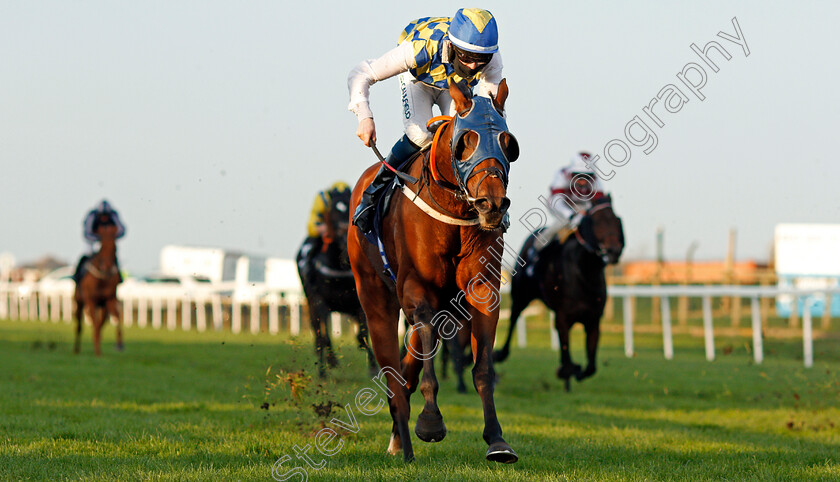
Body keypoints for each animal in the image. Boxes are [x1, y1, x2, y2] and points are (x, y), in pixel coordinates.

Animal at [74, 217, 124, 356]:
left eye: (115, 248)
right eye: (102, 245)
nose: (107, 266)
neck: (102, 279)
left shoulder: (108, 300)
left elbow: (115, 320)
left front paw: (118, 345)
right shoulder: (91, 300)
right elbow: (96, 324)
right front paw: (97, 349)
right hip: (79, 302)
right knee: (79, 325)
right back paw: (76, 349)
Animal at [296, 186, 374, 378]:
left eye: (349, 206)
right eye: (332, 211)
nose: (344, 231)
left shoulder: (358, 301)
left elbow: (363, 334)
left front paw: (373, 367)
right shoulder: (319, 302)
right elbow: (324, 336)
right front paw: (324, 369)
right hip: (311, 303)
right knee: (319, 334)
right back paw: (327, 363)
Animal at [346, 78, 520, 464]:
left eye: (508, 143)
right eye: (465, 142)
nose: (492, 204)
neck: (453, 208)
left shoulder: (481, 290)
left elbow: (482, 367)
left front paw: (497, 440)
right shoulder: (416, 290)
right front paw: (430, 422)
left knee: (404, 369)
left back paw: (399, 437)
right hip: (375, 298)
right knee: (392, 371)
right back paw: (404, 442)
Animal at [492, 196, 624, 392]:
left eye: (616, 221)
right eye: (597, 222)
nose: (614, 251)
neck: (585, 272)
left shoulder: (593, 320)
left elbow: (590, 367)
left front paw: (574, 372)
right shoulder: (563, 317)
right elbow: (568, 359)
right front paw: (566, 371)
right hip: (521, 295)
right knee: (514, 318)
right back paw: (499, 354)